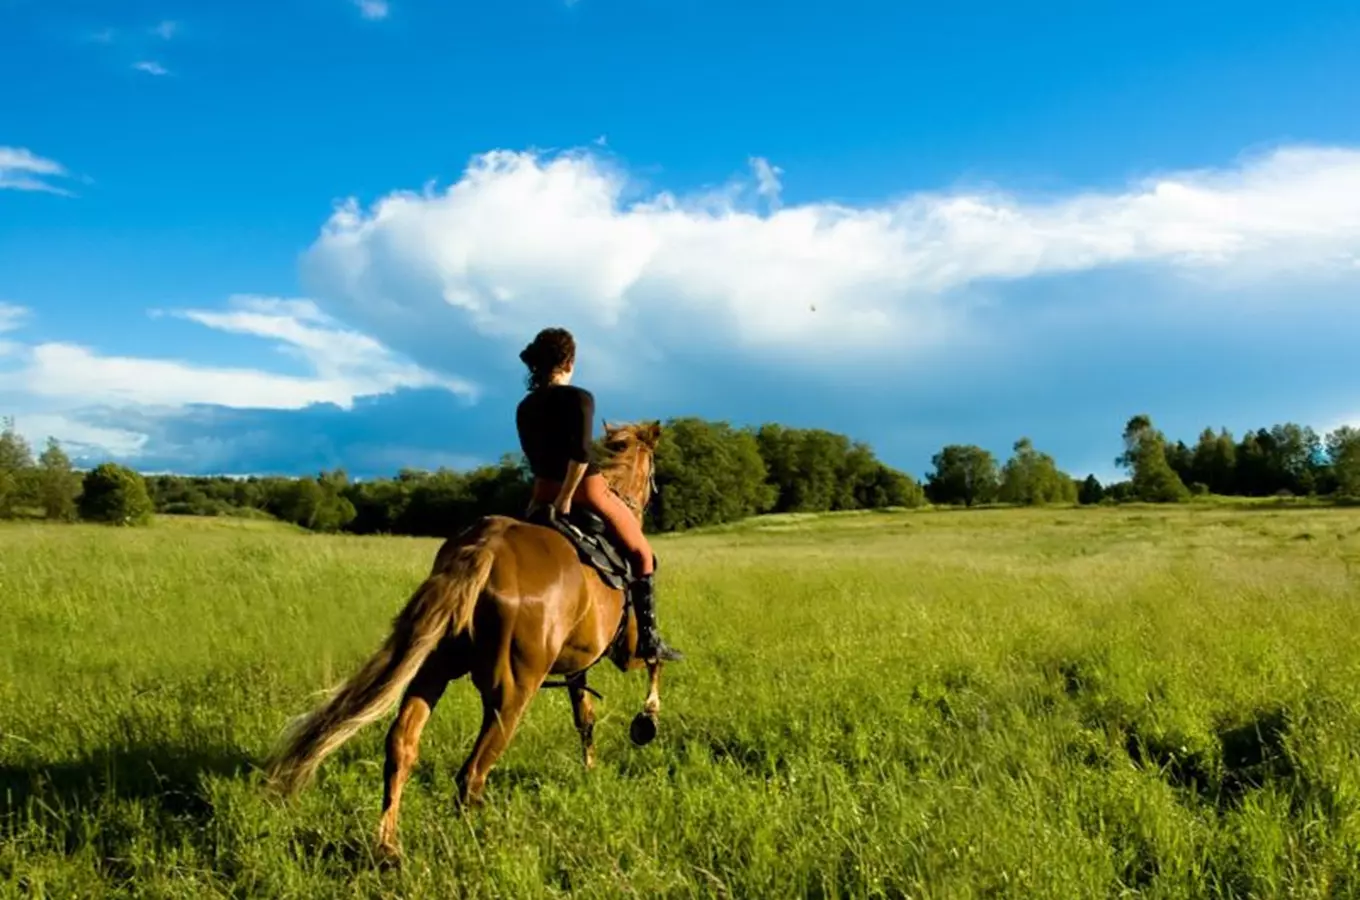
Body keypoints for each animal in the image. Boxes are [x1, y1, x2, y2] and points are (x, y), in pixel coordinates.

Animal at [259, 421, 669, 859]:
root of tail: (485, 549)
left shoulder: (579, 663)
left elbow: (584, 717)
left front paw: (590, 765)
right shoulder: (624, 651)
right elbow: (654, 658)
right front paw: (647, 719)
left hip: (432, 670)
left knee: (401, 746)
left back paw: (388, 846)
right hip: (512, 696)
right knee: (471, 775)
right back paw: (479, 845)